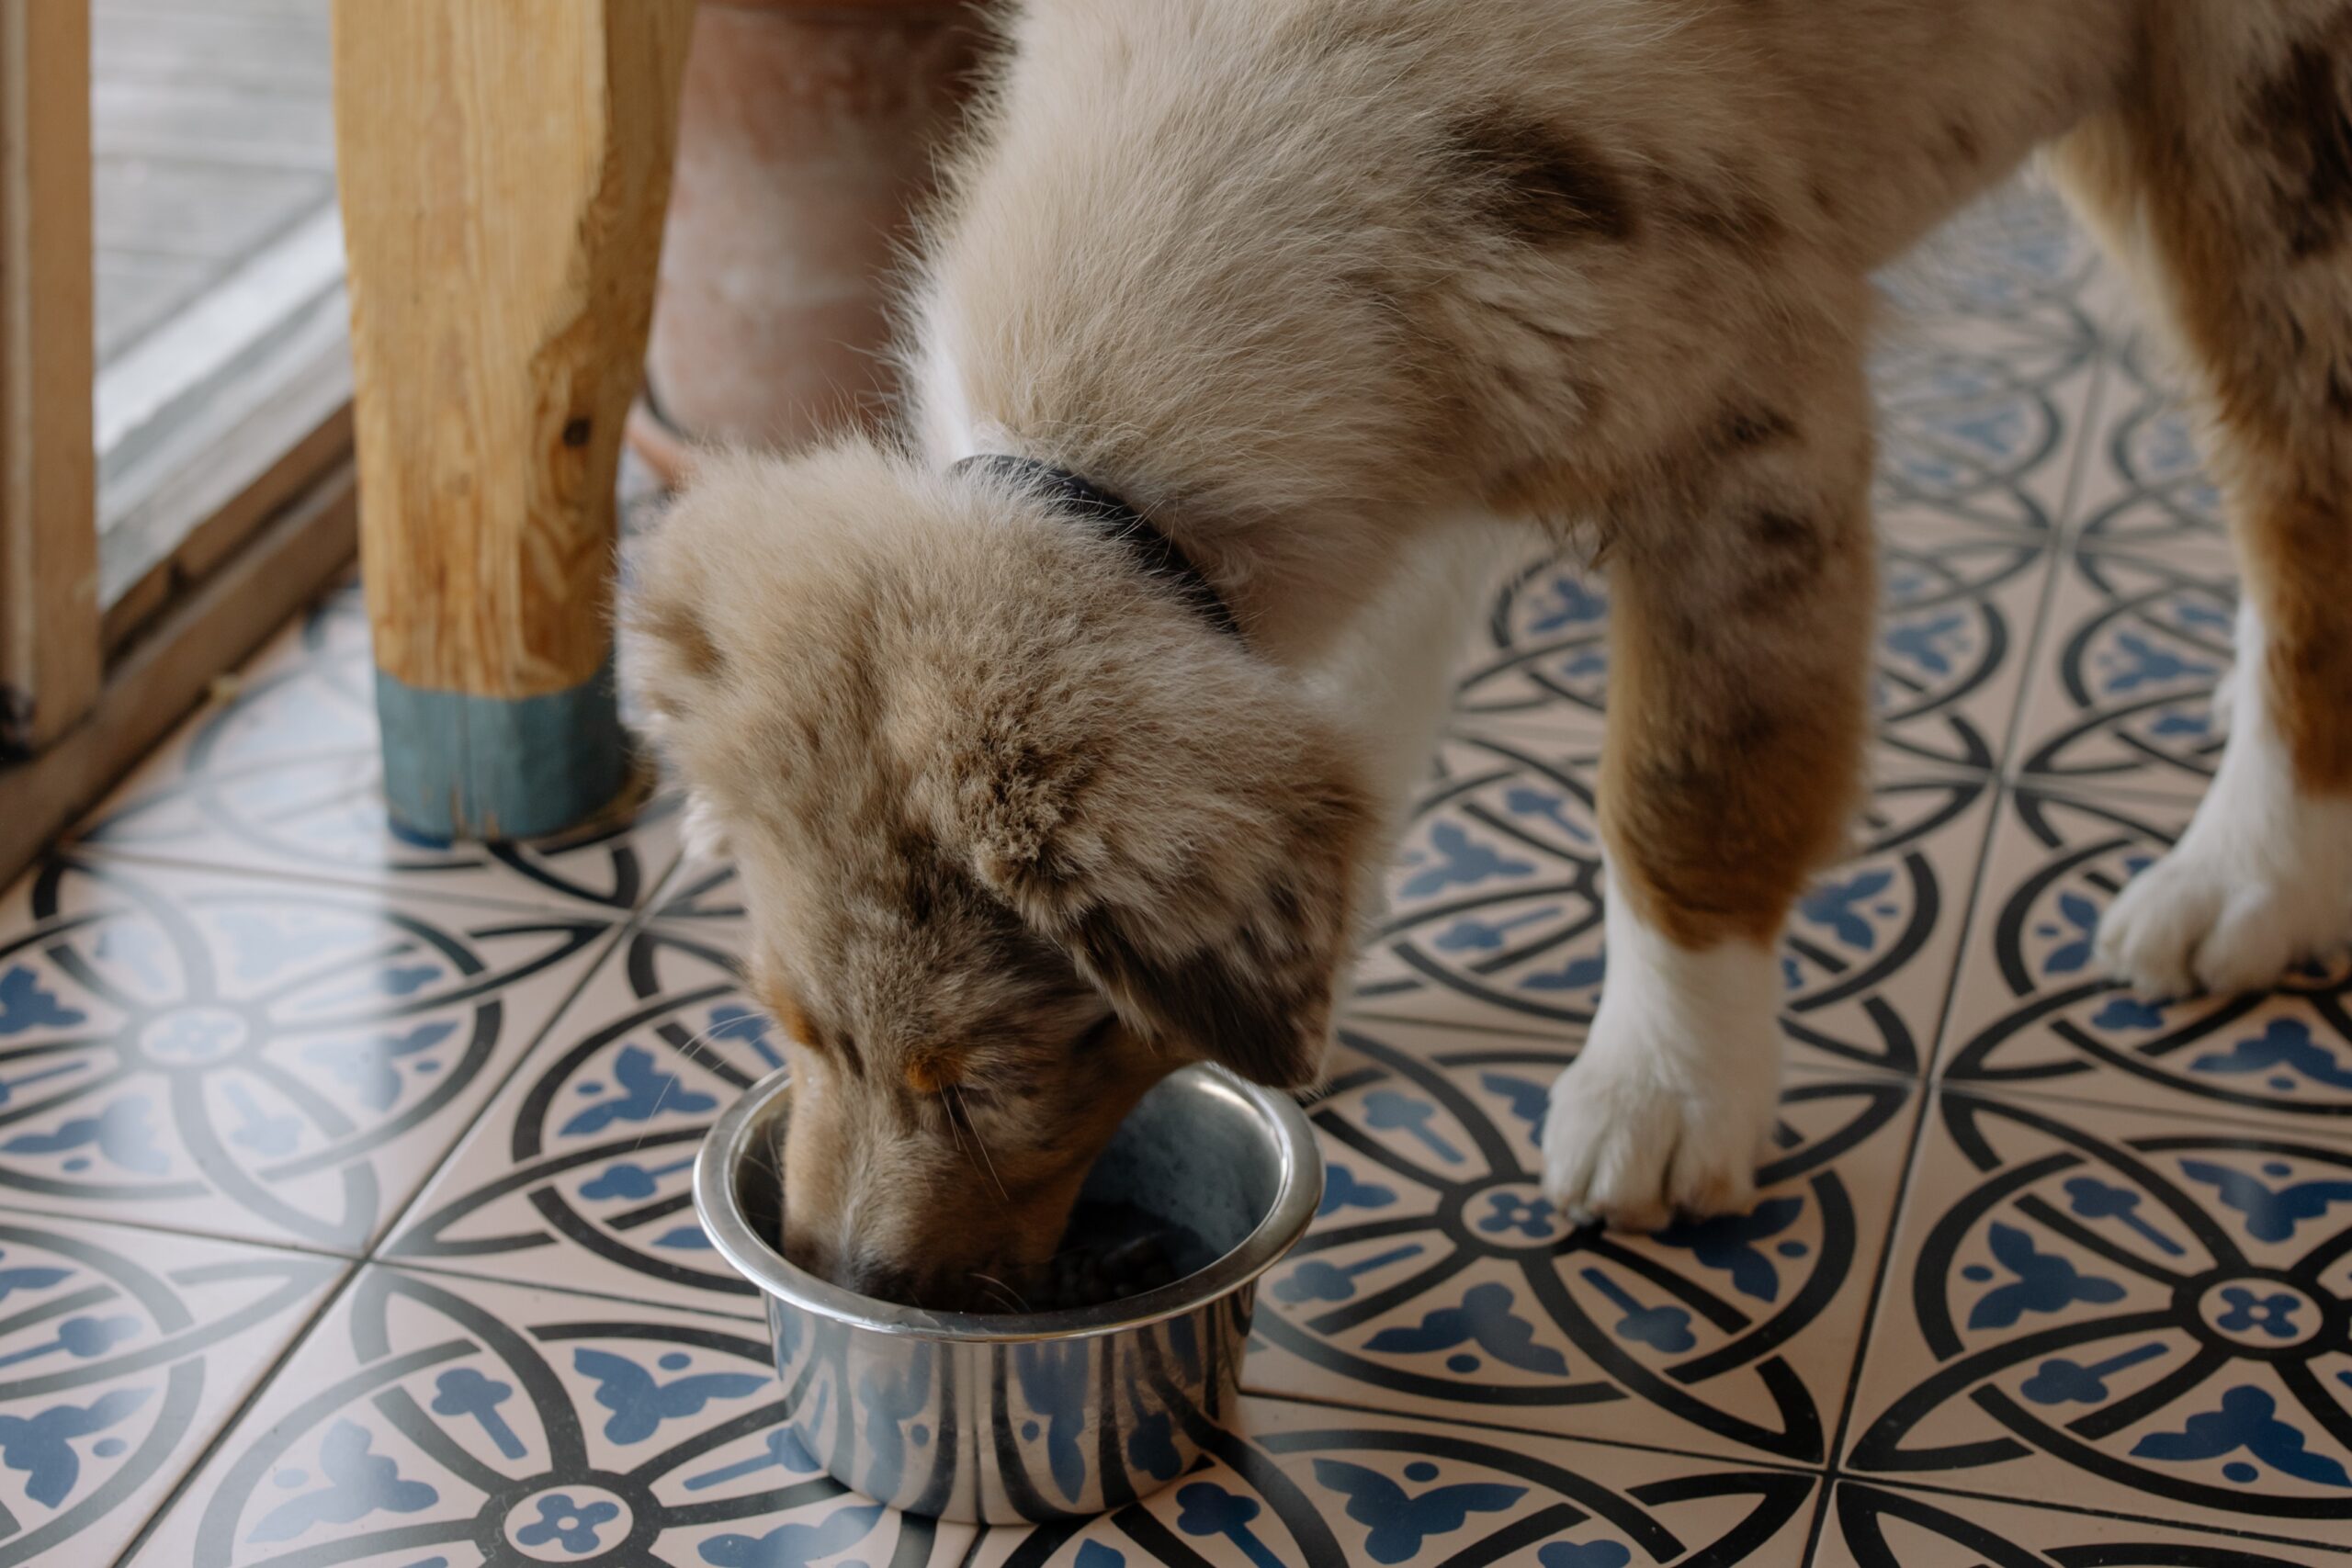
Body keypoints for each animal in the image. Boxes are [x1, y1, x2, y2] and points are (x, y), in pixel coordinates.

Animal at [625, 0, 2352, 1306]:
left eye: (975, 1079)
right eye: (793, 1028)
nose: (847, 1275)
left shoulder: (1746, 426)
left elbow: (1687, 785)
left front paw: (1667, 1091)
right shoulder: (1424, 438)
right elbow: (1353, 718)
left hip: (2263, 118)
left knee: (2297, 485)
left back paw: (2252, 872)